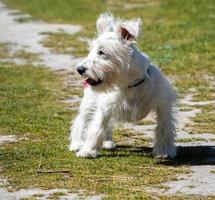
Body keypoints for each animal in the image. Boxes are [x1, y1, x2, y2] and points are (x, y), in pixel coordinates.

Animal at [69, 13, 178, 159]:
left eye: (101, 52)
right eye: (91, 51)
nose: (79, 69)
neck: (129, 84)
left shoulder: (163, 106)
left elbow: (164, 128)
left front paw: (164, 151)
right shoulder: (104, 108)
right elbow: (96, 127)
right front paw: (88, 151)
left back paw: (108, 142)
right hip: (89, 104)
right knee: (81, 121)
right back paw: (77, 144)